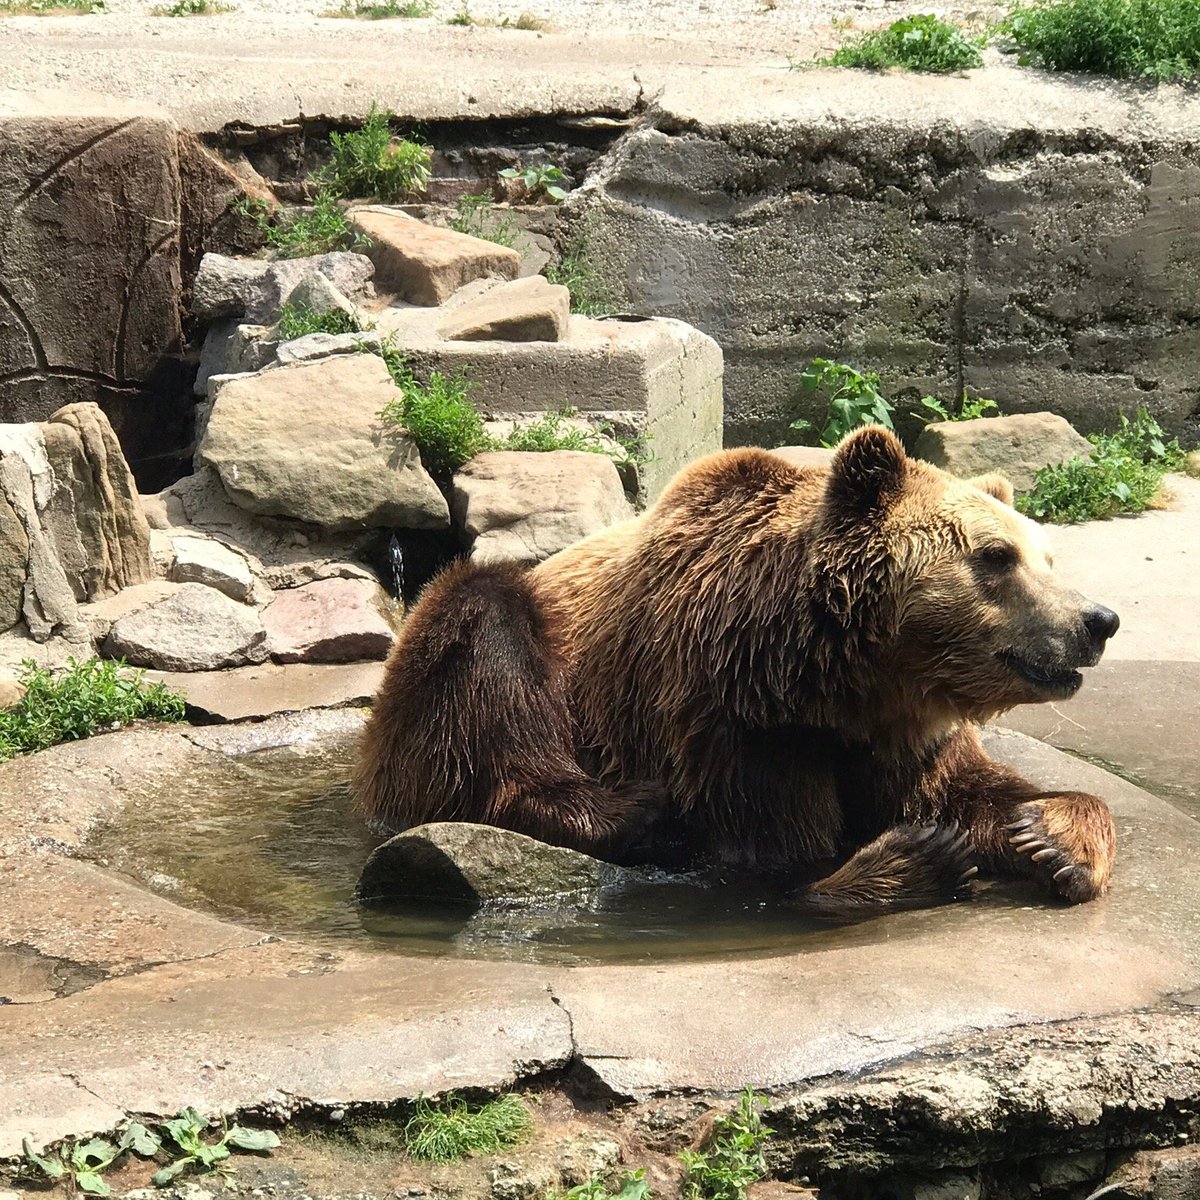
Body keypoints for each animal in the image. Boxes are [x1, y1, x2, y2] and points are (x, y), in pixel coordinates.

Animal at [350, 427, 1118, 912]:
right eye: (995, 557)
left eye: (1046, 556)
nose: (1097, 621)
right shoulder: (733, 724)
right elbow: (765, 864)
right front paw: (913, 859)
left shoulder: (904, 734)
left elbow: (974, 791)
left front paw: (1052, 836)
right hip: (492, 656)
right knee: (482, 644)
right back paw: (628, 810)